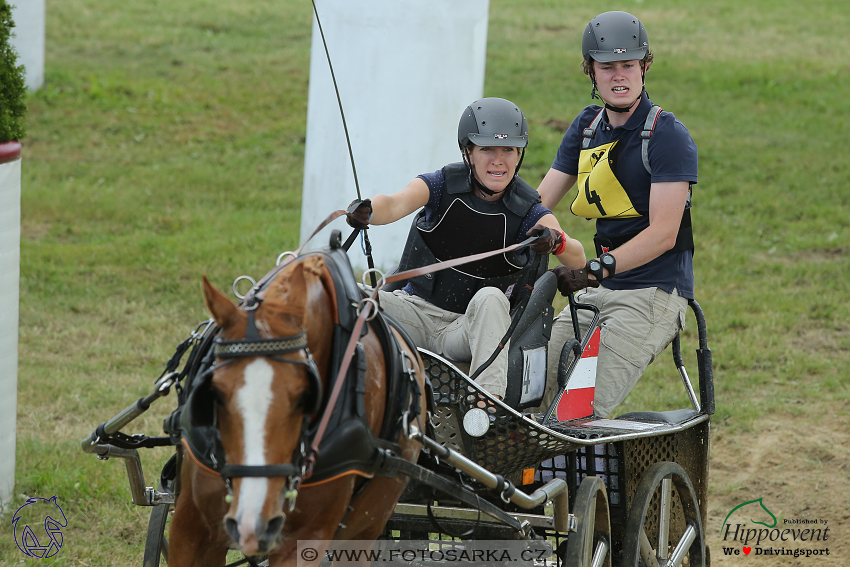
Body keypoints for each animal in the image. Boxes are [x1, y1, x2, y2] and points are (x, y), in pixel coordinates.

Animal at [166, 254, 428, 567]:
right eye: (214, 393)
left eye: (306, 397)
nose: (254, 521)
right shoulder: (189, 527)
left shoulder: (306, 538)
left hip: (366, 527)